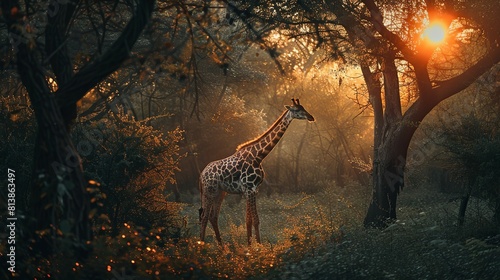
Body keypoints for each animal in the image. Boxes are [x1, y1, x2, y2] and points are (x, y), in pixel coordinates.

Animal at [198, 99, 312, 245]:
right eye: (297, 110)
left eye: (303, 107)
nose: (311, 117)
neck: (259, 156)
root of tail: (201, 175)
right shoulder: (249, 189)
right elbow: (255, 220)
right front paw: (258, 245)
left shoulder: (252, 190)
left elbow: (249, 220)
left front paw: (250, 244)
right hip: (209, 191)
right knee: (204, 216)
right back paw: (203, 245)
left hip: (220, 192)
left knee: (213, 216)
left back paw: (222, 246)